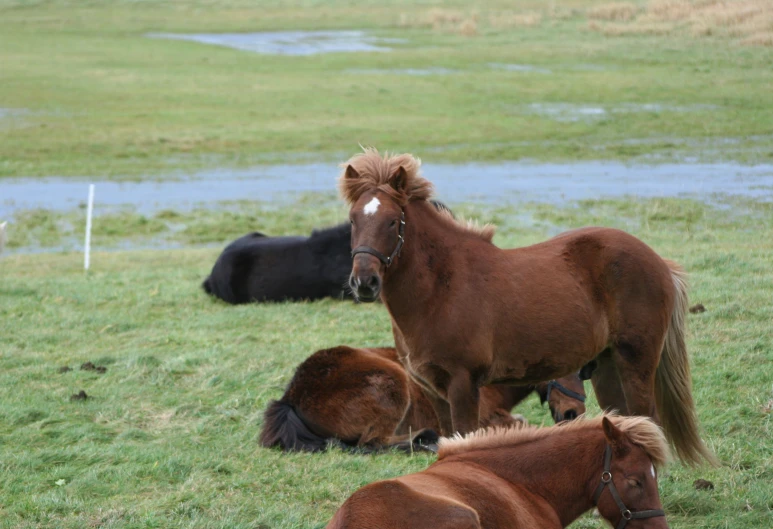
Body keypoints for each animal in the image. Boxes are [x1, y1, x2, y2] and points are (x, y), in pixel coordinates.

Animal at [256, 344, 584, 452]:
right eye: (569, 368)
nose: (574, 414)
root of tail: (292, 396)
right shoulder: (483, 418)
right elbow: (521, 427)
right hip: (394, 383)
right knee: (371, 444)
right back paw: (426, 440)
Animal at [340, 146, 716, 464]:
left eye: (392, 220)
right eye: (353, 220)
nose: (364, 283)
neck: (440, 290)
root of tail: (660, 263)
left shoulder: (463, 386)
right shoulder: (432, 391)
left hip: (636, 359)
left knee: (648, 420)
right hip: (608, 366)